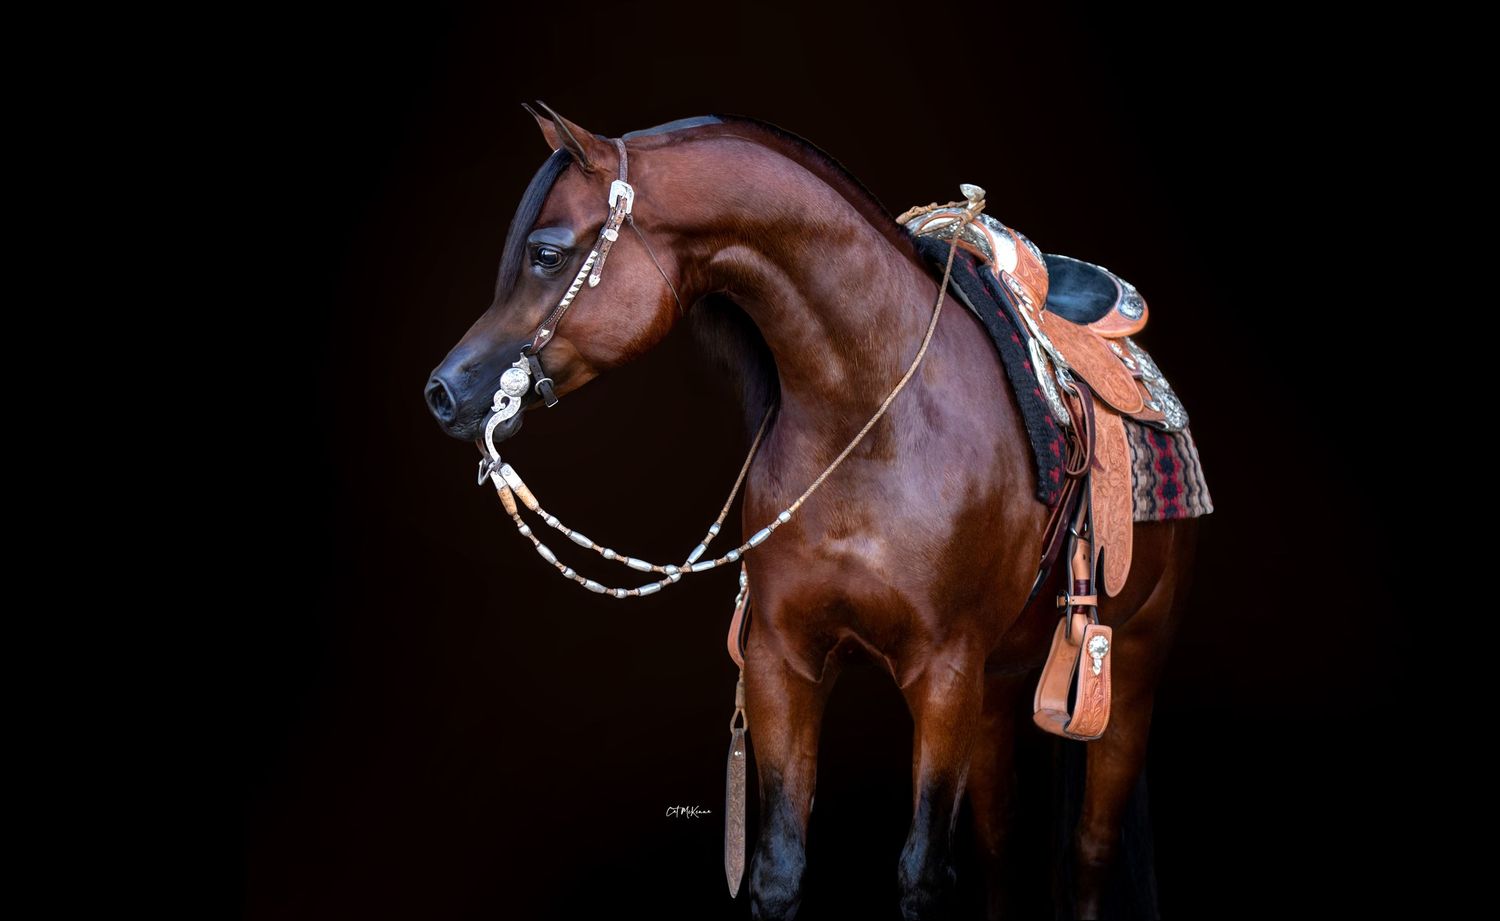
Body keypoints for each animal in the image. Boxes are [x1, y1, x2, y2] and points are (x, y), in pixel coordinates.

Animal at [423, 104, 1199, 920]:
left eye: (545, 253)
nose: (444, 390)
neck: (871, 415)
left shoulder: (945, 672)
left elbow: (924, 872)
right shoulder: (781, 660)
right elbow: (778, 868)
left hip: (1129, 668)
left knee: (1090, 853)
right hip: (999, 684)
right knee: (998, 845)